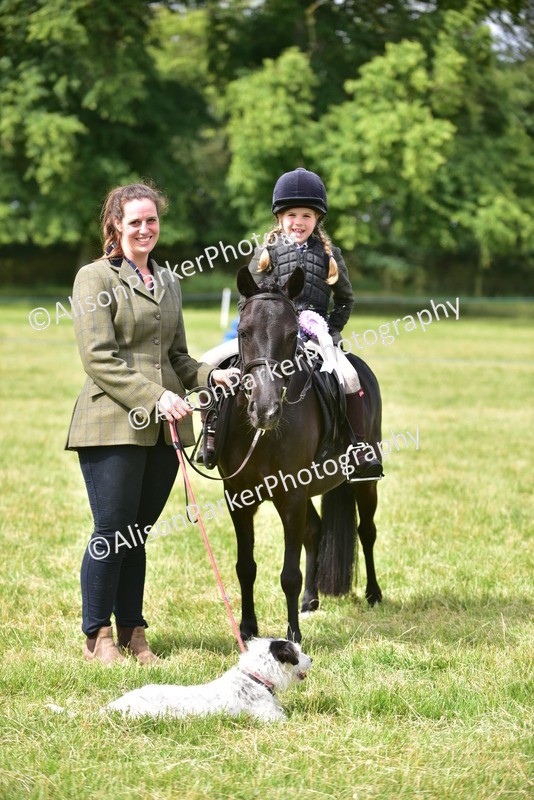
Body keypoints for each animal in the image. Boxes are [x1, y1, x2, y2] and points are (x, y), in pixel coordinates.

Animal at [217, 265, 383, 643]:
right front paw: (248, 629)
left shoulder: (291, 495)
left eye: (293, 333)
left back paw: (373, 594)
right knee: (315, 532)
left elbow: (288, 574)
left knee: (367, 531)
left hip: (363, 482)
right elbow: (245, 566)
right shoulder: (239, 498)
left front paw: (293, 635)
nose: (265, 410)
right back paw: (310, 600)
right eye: (243, 332)